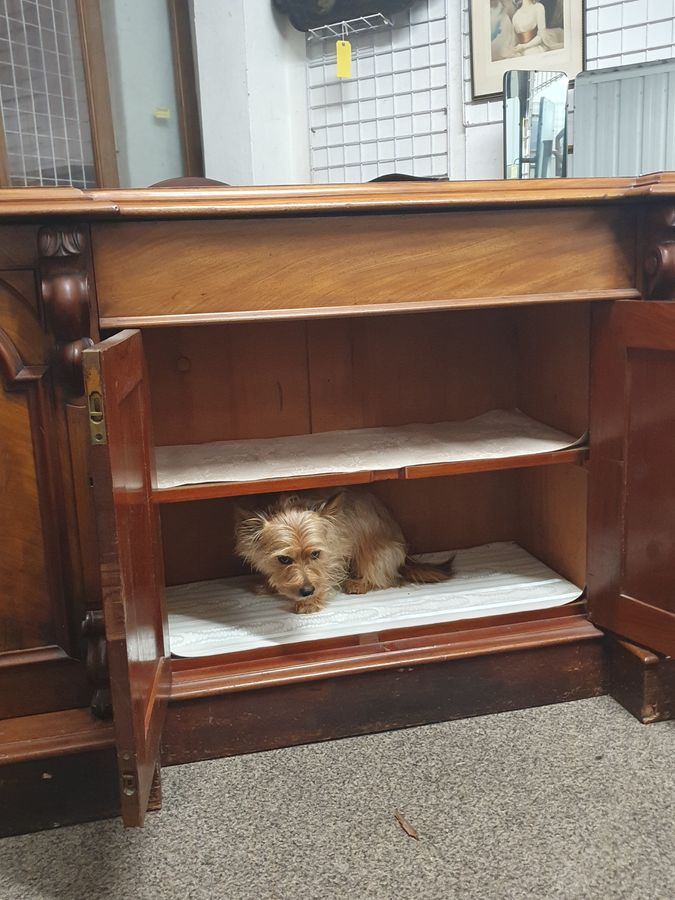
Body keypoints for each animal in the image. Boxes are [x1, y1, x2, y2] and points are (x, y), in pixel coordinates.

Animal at [234, 488, 454, 616]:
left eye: (315, 554)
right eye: (283, 559)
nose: (307, 591)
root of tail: (406, 559)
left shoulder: (332, 556)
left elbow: (323, 576)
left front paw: (312, 601)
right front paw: (269, 585)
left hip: (377, 555)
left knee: (387, 578)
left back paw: (360, 583)